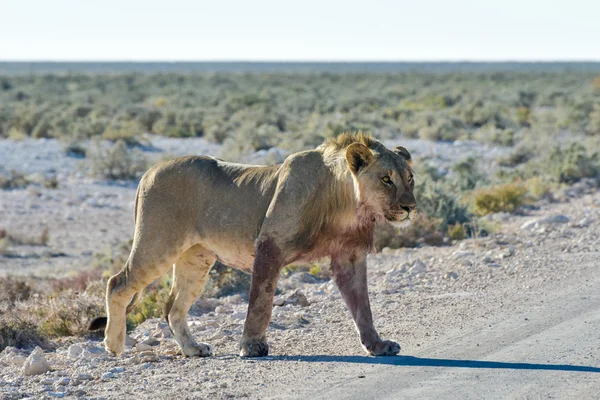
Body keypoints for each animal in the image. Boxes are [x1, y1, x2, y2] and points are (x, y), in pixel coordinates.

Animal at [90, 133, 418, 358]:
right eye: (386, 179)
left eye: (410, 178)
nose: (410, 207)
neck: (347, 206)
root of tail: (148, 171)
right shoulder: (269, 246)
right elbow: (260, 303)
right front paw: (252, 346)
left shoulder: (349, 256)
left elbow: (363, 306)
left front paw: (377, 345)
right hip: (157, 243)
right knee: (117, 283)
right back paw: (114, 344)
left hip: (195, 259)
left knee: (173, 307)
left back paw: (193, 349)